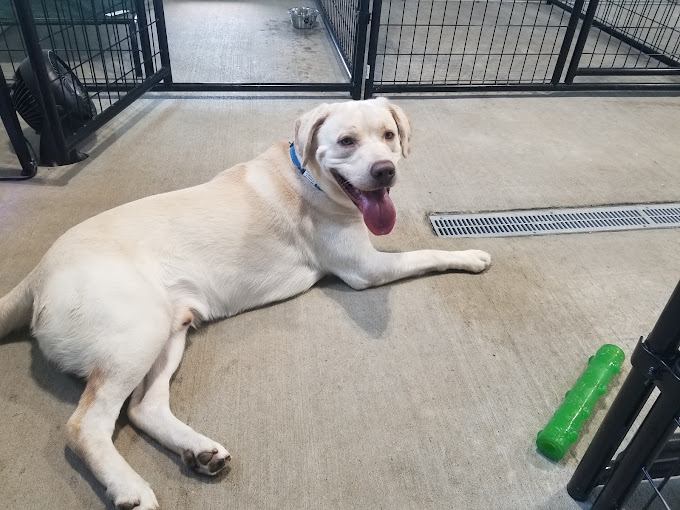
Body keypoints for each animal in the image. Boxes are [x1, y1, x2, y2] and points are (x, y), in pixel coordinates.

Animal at [0, 97, 488, 508]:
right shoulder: (365, 268)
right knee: (86, 425)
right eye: (346, 142)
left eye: (388, 135)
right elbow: (423, 253)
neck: (306, 176)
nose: (386, 170)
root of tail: (37, 274)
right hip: (136, 333)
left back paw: (199, 451)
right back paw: (130, 488)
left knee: (143, 408)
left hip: (169, 330)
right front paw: (470, 255)